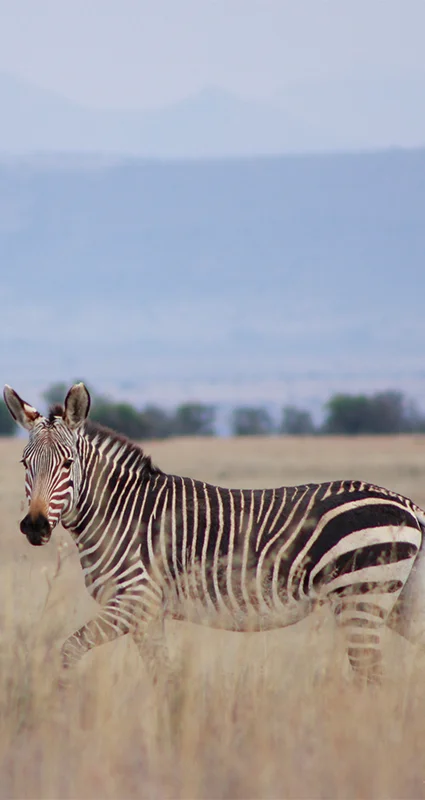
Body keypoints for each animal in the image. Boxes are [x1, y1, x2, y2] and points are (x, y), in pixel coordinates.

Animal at [3, 382, 425, 685]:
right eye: (25, 464)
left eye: (67, 464)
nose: (35, 526)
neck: (119, 512)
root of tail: (408, 505)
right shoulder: (149, 616)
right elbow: (164, 677)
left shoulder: (133, 602)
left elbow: (69, 651)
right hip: (399, 603)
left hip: (362, 598)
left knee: (372, 679)